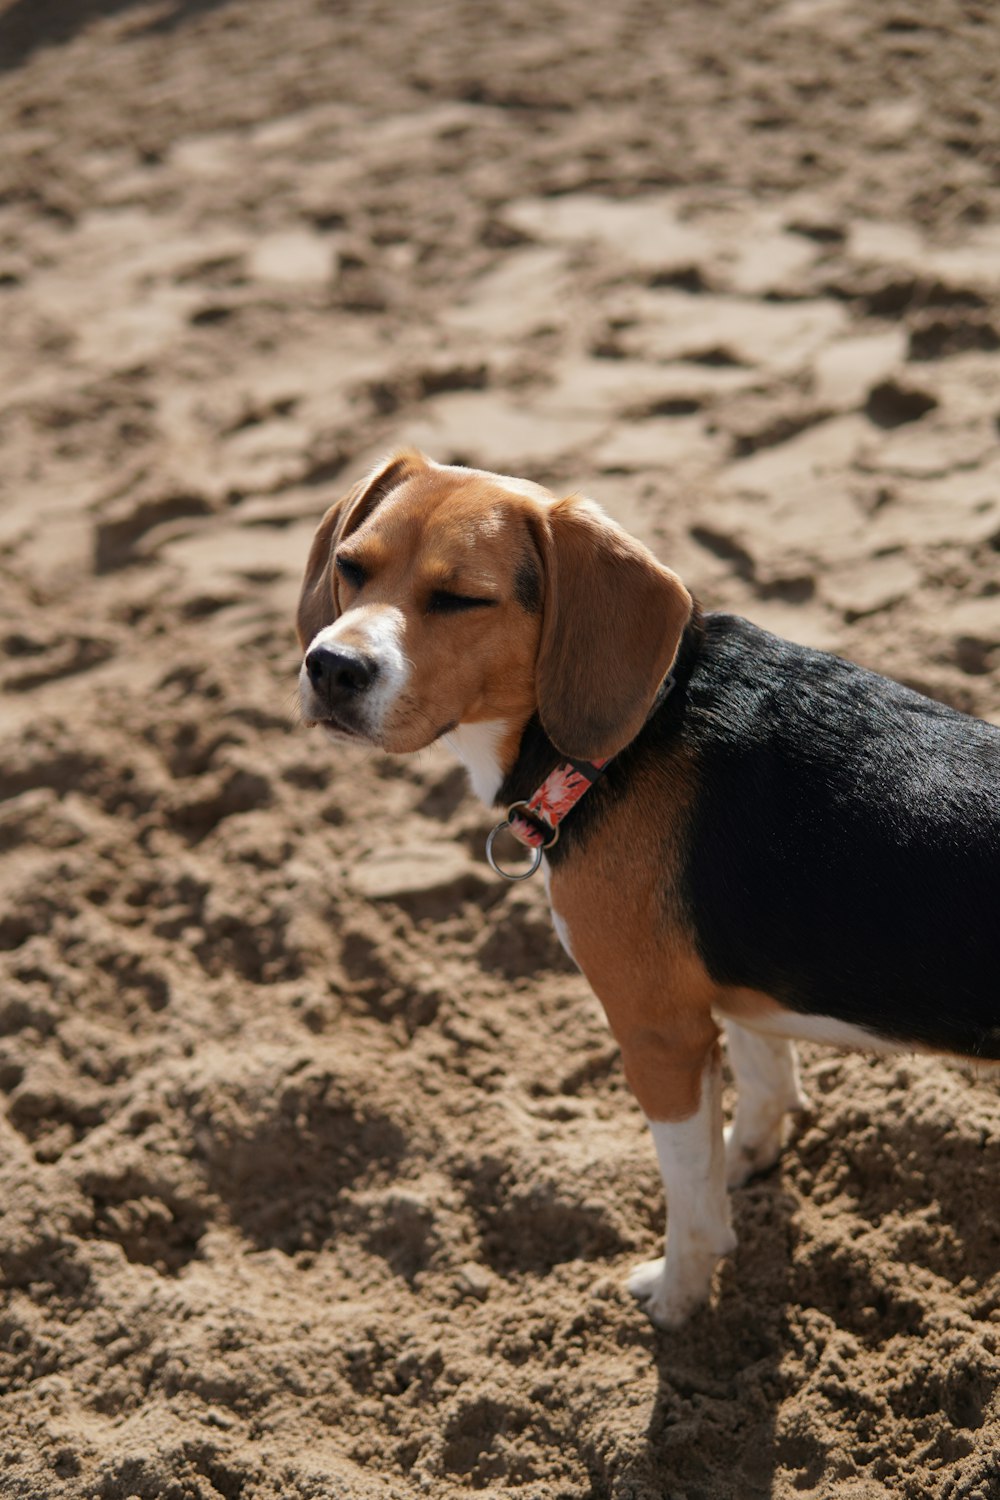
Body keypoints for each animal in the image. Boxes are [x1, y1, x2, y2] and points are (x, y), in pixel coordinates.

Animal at [296, 444, 1000, 1326]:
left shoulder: (656, 1036)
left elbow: (688, 1194)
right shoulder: (729, 990)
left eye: (461, 599)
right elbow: (762, 1080)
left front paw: (678, 1295)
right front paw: (749, 1159)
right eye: (352, 568)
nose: (331, 666)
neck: (640, 724)